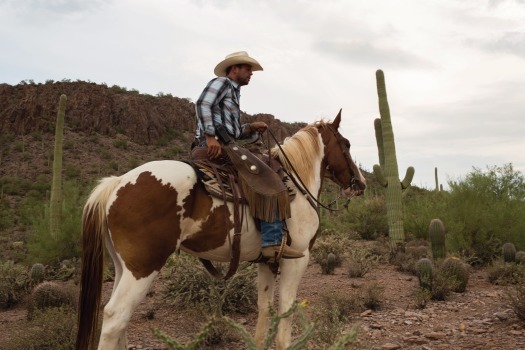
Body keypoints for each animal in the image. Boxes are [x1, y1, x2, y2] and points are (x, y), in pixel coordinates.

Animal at [75, 110, 366, 350]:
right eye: (347, 144)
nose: (360, 183)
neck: (295, 183)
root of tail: (117, 183)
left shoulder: (267, 261)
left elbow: (264, 310)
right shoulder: (297, 259)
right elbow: (285, 313)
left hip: (123, 266)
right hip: (143, 267)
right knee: (115, 316)